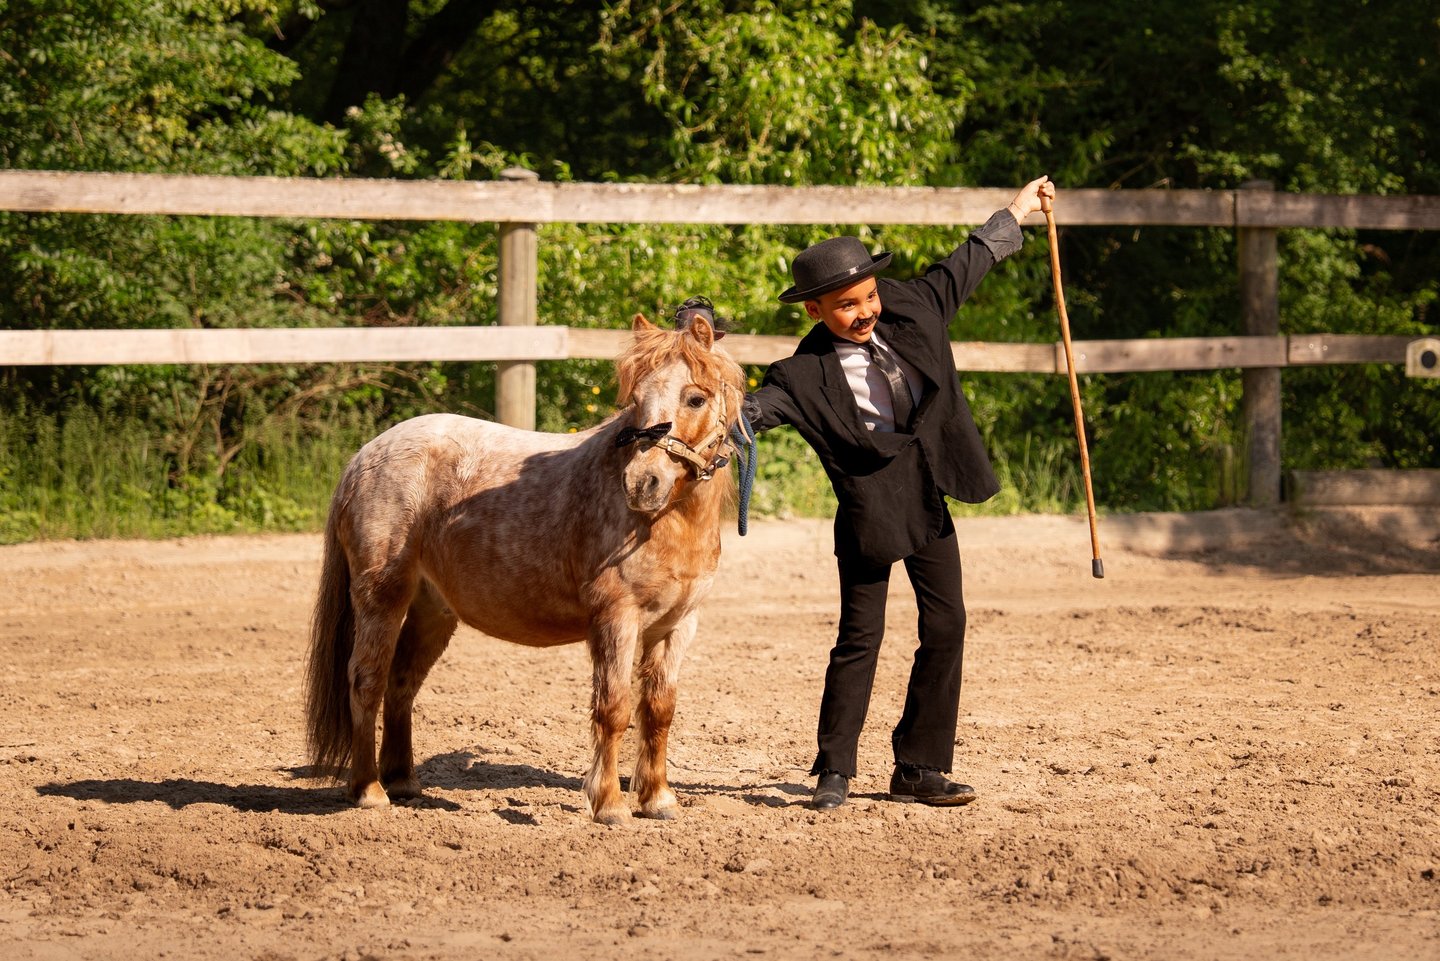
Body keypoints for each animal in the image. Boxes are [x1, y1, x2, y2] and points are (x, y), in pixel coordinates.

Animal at [303, 313, 746, 823]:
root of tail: (364, 456)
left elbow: (659, 709)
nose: (642, 483)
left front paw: (657, 799)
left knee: (401, 685)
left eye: (695, 398)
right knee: (366, 681)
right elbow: (613, 709)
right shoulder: (616, 620)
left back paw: (403, 782)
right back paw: (369, 790)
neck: (664, 521)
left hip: (432, 610)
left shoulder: (676, 626)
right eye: (635, 400)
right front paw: (609, 804)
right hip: (382, 599)